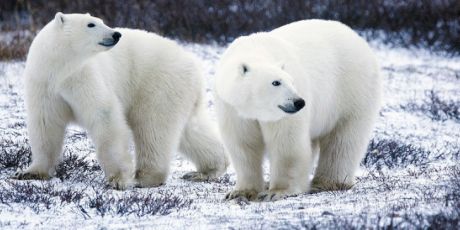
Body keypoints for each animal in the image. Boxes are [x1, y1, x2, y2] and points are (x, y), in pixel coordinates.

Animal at [14, 12, 228, 189]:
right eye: (91, 24)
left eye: (101, 21)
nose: (116, 34)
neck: (60, 68)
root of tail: (194, 64)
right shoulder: (44, 83)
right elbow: (46, 124)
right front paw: (31, 172)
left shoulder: (83, 76)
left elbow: (104, 115)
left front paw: (118, 179)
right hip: (179, 92)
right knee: (190, 130)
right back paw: (207, 170)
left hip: (158, 84)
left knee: (152, 127)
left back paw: (145, 177)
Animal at [216, 19, 380, 201]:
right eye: (276, 82)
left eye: (292, 81)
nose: (299, 102)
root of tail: (358, 38)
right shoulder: (232, 108)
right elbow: (243, 144)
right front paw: (240, 192)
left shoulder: (283, 115)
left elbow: (287, 143)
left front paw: (276, 191)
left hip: (351, 90)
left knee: (343, 139)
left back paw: (327, 182)